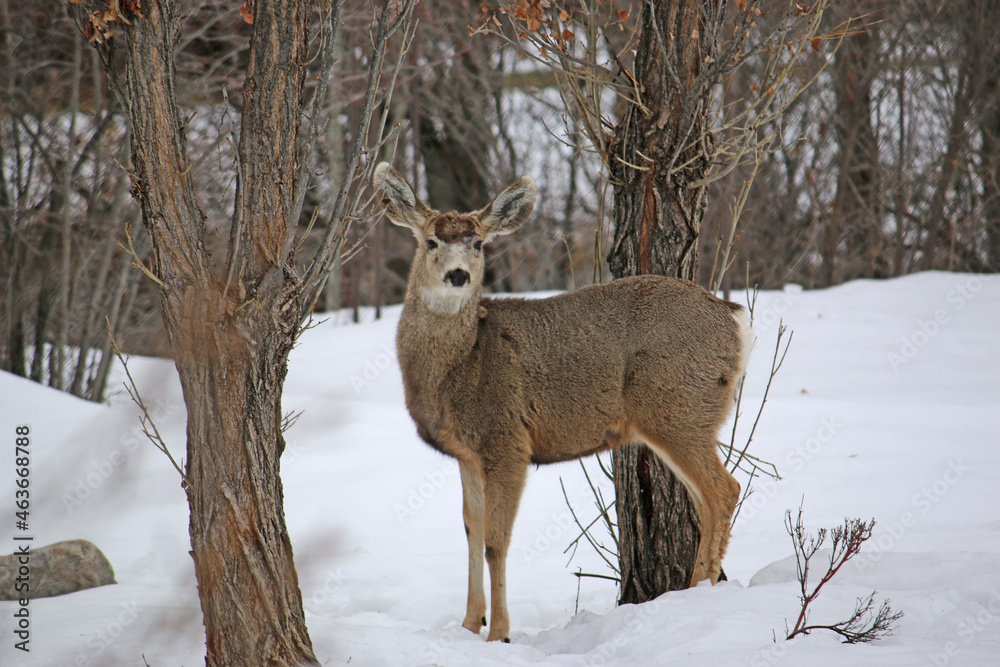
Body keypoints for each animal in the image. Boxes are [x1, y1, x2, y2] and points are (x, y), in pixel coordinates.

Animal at [373, 162, 752, 643]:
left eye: (478, 243)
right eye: (430, 241)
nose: (458, 275)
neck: (463, 363)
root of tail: (735, 319)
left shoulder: (508, 440)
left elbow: (496, 541)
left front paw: (499, 634)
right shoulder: (468, 453)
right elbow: (471, 534)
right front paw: (468, 625)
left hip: (678, 408)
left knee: (724, 490)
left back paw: (698, 592)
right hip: (684, 416)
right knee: (707, 498)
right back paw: (694, 587)